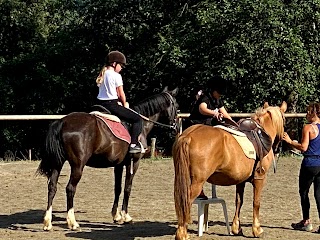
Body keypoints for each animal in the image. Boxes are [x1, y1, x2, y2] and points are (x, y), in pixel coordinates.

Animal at [37, 87, 179, 230]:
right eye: (177, 106)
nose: (177, 128)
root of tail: (63, 122)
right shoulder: (133, 162)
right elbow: (127, 187)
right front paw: (126, 216)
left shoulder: (119, 165)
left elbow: (118, 188)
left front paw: (116, 215)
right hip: (78, 166)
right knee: (70, 188)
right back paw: (72, 222)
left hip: (58, 163)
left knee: (52, 186)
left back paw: (48, 222)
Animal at [174, 101, 286, 240]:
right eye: (284, 120)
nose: (279, 145)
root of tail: (188, 136)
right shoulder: (259, 178)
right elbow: (256, 203)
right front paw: (257, 230)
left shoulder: (241, 181)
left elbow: (239, 201)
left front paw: (236, 228)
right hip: (197, 181)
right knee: (186, 201)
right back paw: (182, 234)